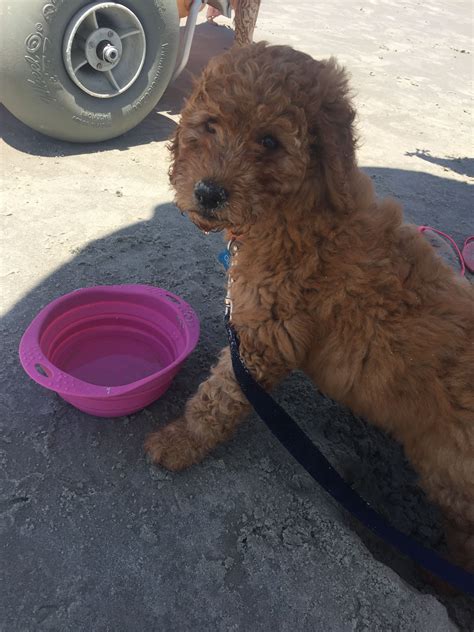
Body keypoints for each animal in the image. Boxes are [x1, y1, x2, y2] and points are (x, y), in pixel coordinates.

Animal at [145, 42, 474, 572]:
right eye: (210, 124)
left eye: (270, 141)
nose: (208, 193)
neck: (298, 205)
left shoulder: (266, 335)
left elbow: (218, 396)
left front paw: (179, 442)